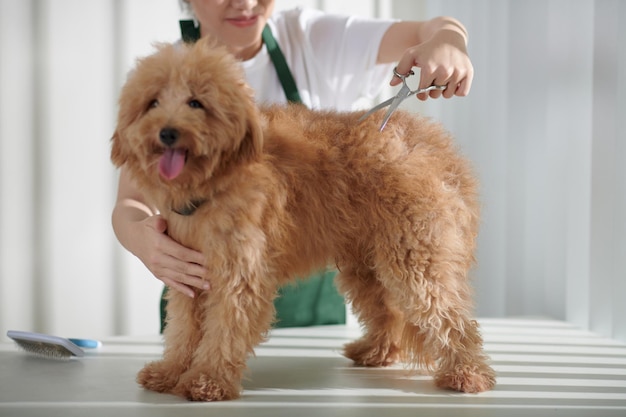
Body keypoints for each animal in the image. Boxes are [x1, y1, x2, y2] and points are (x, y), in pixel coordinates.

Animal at [109, 38, 494, 400]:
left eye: (195, 103)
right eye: (153, 103)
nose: (167, 132)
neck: (216, 180)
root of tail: (439, 151)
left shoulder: (239, 276)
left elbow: (224, 331)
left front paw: (208, 380)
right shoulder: (186, 275)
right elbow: (183, 331)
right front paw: (170, 372)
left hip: (415, 260)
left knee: (449, 317)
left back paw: (467, 373)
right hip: (366, 266)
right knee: (389, 312)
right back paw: (377, 351)